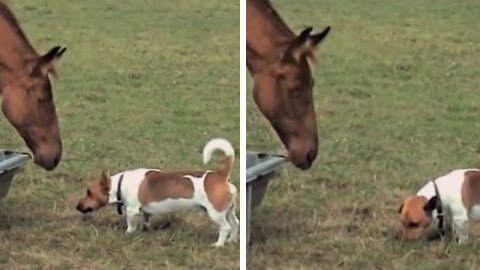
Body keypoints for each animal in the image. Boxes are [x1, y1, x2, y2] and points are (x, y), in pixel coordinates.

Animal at [76, 138, 239, 248]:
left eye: (89, 192)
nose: (77, 206)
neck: (120, 183)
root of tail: (220, 175)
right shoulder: (145, 211)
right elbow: (146, 219)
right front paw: (145, 230)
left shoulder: (132, 210)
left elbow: (131, 225)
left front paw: (128, 233)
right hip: (228, 211)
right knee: (235, 223)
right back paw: (231, 240)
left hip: (215, 213)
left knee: (226, 227)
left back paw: (219, 244)